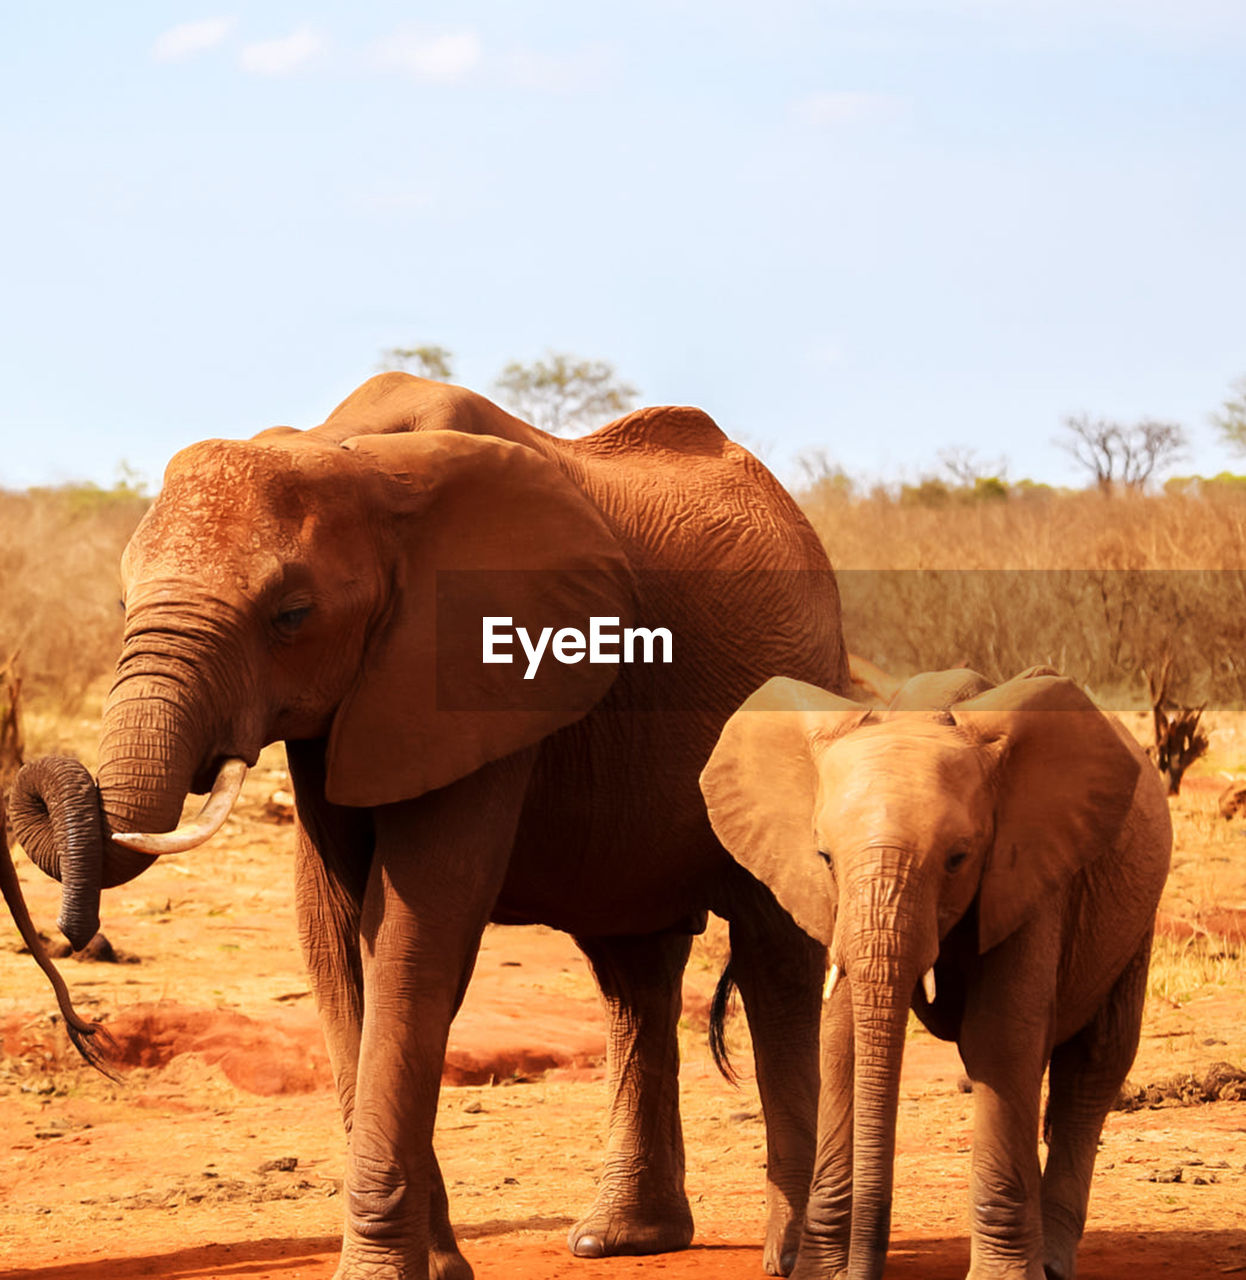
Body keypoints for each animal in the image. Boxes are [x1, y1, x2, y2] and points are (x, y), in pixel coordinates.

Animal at [7, 373, 845, 1280]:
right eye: (122, 601)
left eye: (291, 614)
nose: (78, 956)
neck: (351, 454)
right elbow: (335, 933)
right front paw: (434, 1268)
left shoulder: (475, 671)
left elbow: (413, 929)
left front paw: (384, 1270)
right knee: (632, 969)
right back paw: (619, 1239)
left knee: (774, 957)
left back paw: (794, 1259)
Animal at [706, 670, 1173, 1280]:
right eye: (824, 857)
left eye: (958, 858)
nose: (862, 1271)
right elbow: (842, 1041)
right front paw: (824, 1275)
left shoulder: (1029, 873)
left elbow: (1002, 1038)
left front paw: (1003, 1278)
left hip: (1137, 910)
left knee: (1095, 1062)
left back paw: (1050, 1263)